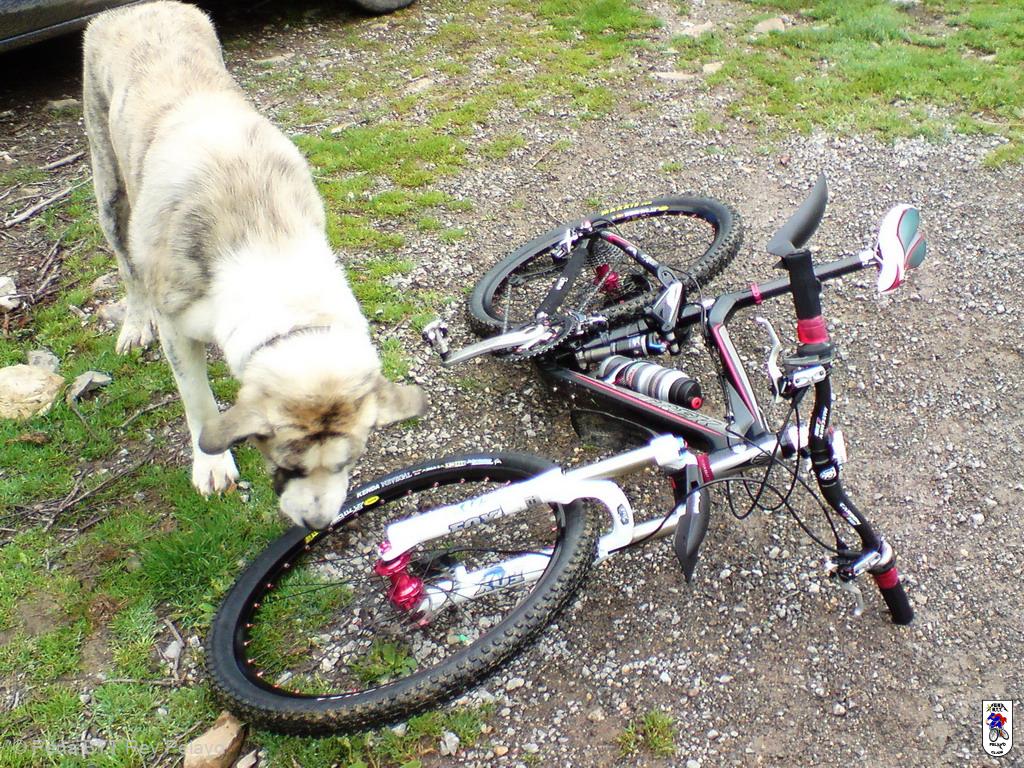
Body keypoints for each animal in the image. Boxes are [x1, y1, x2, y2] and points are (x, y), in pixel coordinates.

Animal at [83, 1, 424, 529]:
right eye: (286, 464)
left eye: (348, 462)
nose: (317, 525)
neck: (267, 240)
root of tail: (136, 9)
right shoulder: (177, 327)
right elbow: (199, 404)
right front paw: (211, 465)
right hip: (109, 190)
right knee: (126, 267)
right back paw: (134, 325)